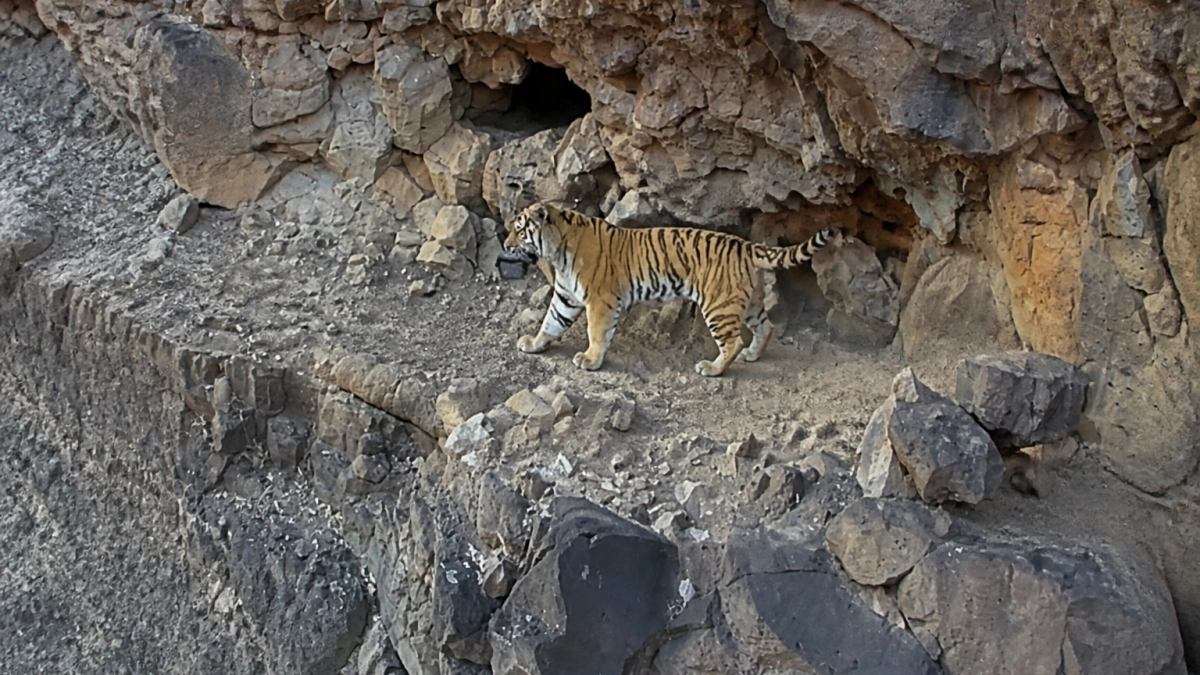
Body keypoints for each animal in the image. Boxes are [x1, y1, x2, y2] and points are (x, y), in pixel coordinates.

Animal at [503, 201, 836, 377]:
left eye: (519, 230)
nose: (505, 244)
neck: (558, 251)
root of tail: (744, 245)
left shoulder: (600, 300)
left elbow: (596, 333)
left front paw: (590, 360)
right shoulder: (565, 296)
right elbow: (550, 322)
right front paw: (534, 343)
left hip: (718, 305)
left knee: (733, 342)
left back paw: (712, 368)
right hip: (747, 301)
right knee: (766, 328)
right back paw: (753, 355)